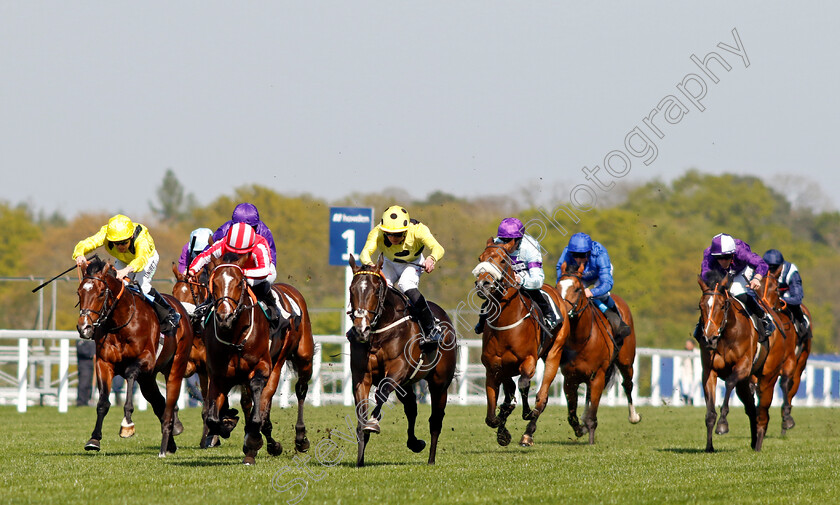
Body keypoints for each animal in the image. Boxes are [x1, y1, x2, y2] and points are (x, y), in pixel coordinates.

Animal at [74, 258, 194, 454]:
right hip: (148, 379)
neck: (121, 323)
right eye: (79, 292)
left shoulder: (146, 360)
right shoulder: (103, 362)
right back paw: (170, 442)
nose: (84, 327)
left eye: (101, 293)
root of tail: (181, 309)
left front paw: (127, 424)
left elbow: (130, 374)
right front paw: (94, 439)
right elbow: (103, 402)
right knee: (158, 402)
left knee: (169, 399)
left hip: (175, 365)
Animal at [344, 254, 456, 466]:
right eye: (351, 289)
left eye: (376, 290)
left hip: (439, 384)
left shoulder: (398, 369)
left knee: (436, 420)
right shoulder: (362, 376)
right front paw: (360, 460)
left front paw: (373, 423)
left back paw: (431, 459)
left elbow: (381, 393)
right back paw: (415, 443)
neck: (380, 332)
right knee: (411, 408)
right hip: (407, 384)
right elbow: (361, 415)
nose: (361, 329)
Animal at [472, 238, 572, 446]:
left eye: (503, 260)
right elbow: (493, 412)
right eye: (480, 258)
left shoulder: (528, 360)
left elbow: (523, 385)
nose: (483, 283)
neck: (505, 326)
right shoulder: (493, 367)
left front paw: (525, 412)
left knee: (542, 397)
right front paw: (502, 429)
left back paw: (528, 433)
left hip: (554, 353)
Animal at [556, 262, 640, 442]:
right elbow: (571, 415)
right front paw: (581, 428)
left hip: (626, 361)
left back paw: (634, 416)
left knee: (627, 384)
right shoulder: (570, 378)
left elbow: (592, 415)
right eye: (557, 287)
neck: (581, 340)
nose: (563, 312)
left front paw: (590, 438)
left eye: (577, 289)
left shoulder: (598, 375)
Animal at [696, 270, 788, 450]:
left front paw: (722, 424)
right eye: (701, 306)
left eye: (722, 305)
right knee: (752, 409)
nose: (709, 338)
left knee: (762, 411)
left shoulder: (743, 367)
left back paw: (758, 444)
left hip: (768, 376)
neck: (726, 336)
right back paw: (753, 442)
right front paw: (709, 447)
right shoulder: (709, 371)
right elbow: (710, 412)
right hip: (745, 383)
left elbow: (729, 382)